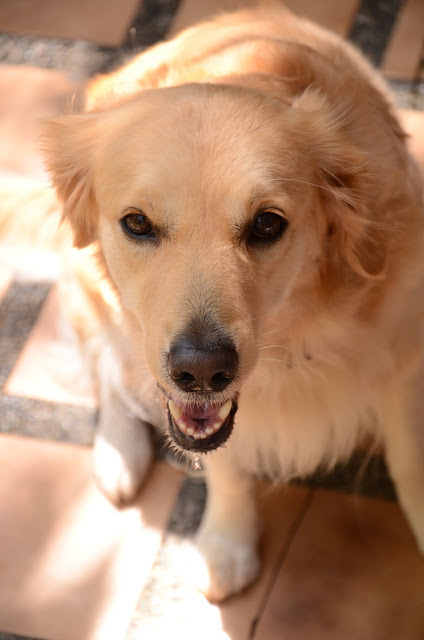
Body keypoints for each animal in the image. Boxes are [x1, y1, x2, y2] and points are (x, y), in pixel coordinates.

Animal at [15, 5, 424, 604]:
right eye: (137, 222)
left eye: (267, 224)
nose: (203, 371)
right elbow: (224, 462)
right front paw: (227, 544)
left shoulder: (403, 363)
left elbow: (411, 465)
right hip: (90, 293)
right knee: (110, 374)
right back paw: (118, 454)